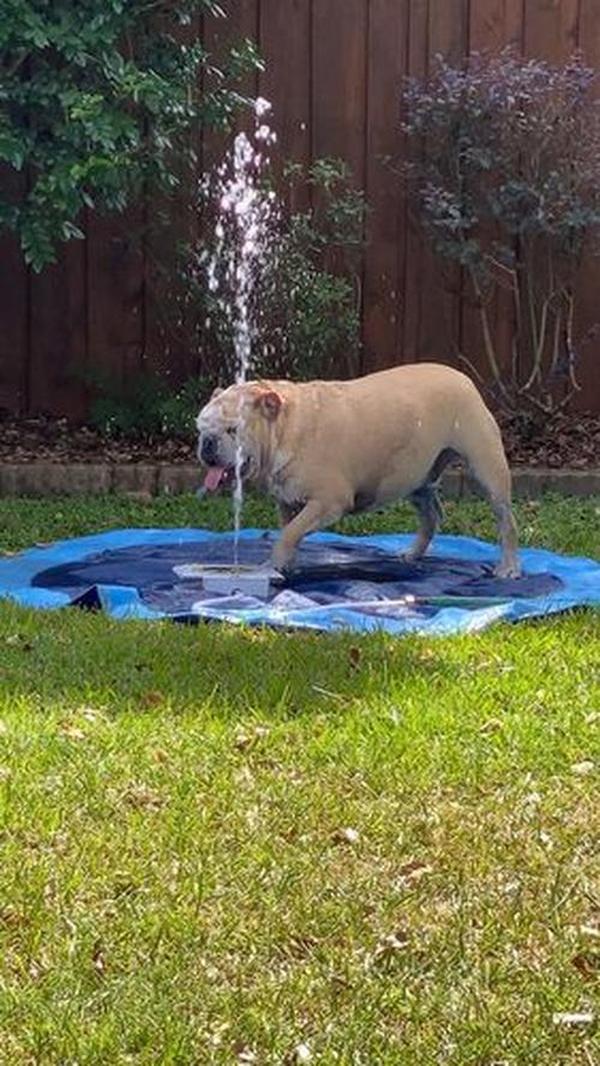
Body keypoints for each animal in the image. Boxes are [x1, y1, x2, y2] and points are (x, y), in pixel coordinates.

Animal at [197, 366, 522, 584]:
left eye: (233, 430)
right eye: (200, 427)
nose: (208, 443)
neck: (285, 427)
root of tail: (463, 379)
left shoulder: (327, 502)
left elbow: (289, 533)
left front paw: (272, 564)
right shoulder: (287, 501)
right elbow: (289, 531)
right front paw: (285, 564)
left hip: (486, 468)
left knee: (506, 521)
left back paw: (508, 568)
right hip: (415, 478)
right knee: (431, 516)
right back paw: (412, 554)